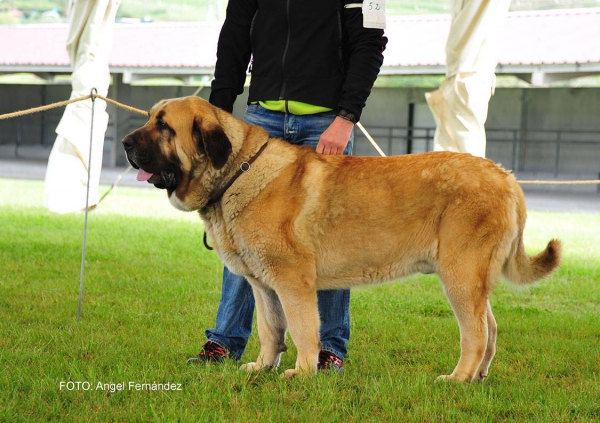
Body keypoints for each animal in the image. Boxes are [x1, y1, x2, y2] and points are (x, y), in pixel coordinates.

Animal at [122, 96, 564, 380]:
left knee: (475, 333)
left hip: (460, 276)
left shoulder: (293, 283)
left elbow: (303, 330)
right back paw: (479, 376)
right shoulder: (263, 285)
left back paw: (457, 379)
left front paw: (302, 373)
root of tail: (507, 177)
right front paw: (263, 368)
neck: (238, 172)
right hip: (472, 281)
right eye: (151, 118)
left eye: (164, 126)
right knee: (491, 328)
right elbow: (270, 330)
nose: (125, 142)